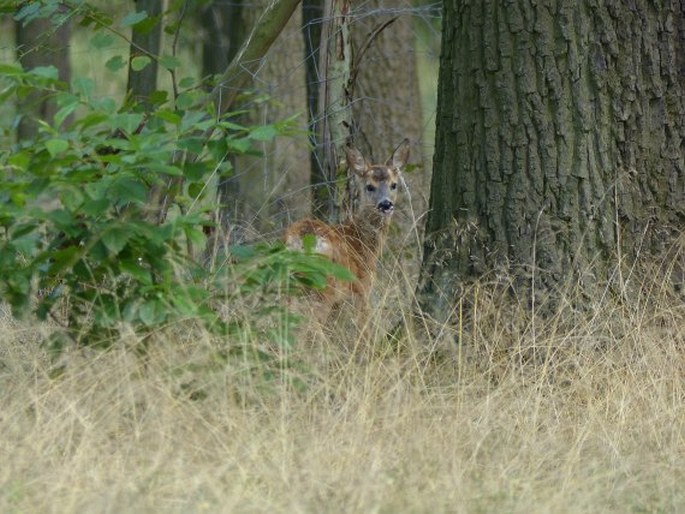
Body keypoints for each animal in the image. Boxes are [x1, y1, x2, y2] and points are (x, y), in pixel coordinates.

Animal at [282, 138, 406, 318]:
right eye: (369, 186)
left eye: (394, 185)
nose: (386, 204)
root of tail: (301, 240)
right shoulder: (362, 288)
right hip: (324, 287)